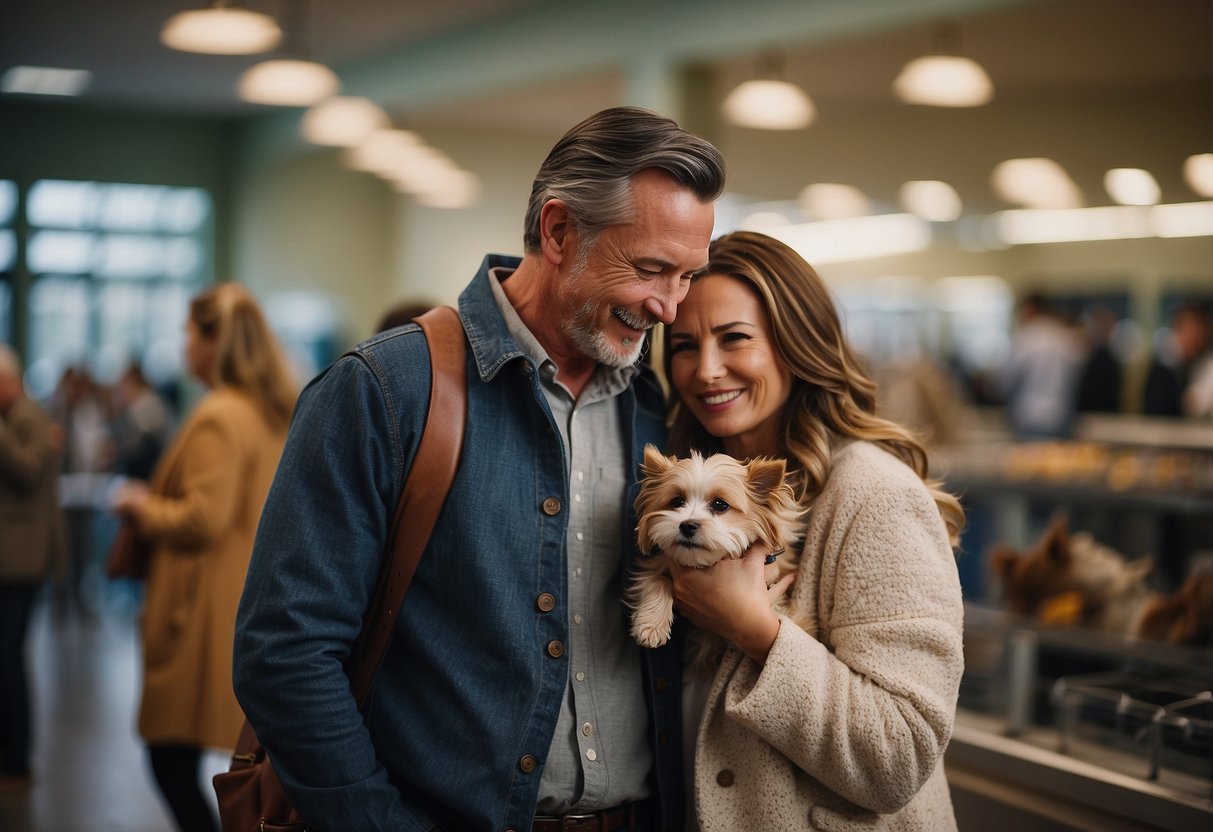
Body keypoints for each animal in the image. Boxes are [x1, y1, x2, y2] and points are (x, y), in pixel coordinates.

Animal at [625, 446, 805, 654]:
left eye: (720, 505)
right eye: (677, 501)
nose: (687, 525)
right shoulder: (658, 563)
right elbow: (657, 579)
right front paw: (652, 625)